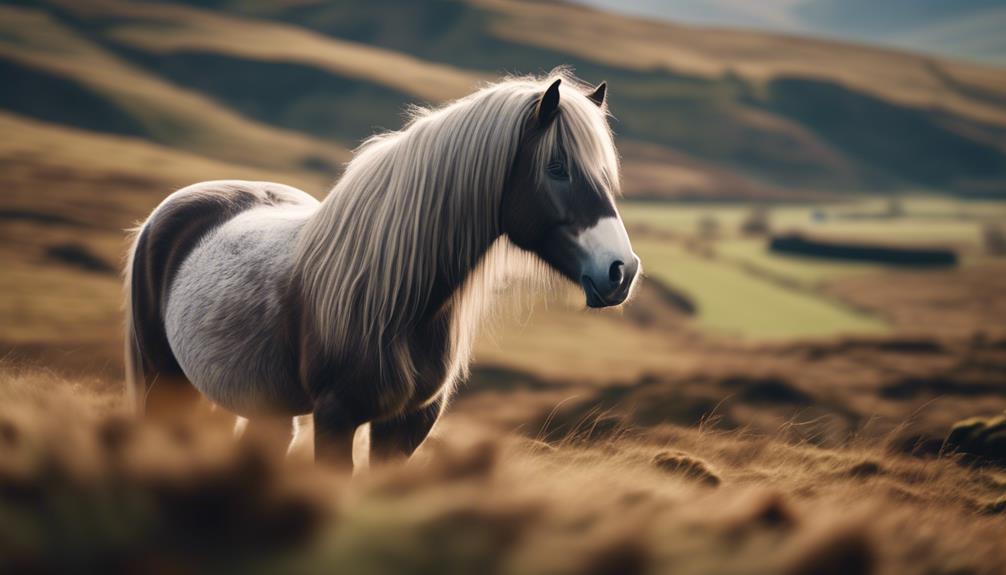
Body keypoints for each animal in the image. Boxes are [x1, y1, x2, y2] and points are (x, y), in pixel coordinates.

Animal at [123, 70, 635, 466]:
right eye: (557, 168)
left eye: (604, 174)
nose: (622, 271)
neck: (393, 296)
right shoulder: (335, 417)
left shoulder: (408, 424)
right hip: (164, 382)